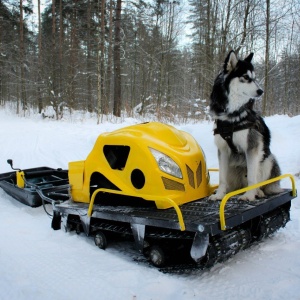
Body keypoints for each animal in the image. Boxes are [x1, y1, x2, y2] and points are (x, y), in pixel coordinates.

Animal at [209, 51, 282, 202]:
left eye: (254, 78)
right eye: (246, 77)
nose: (261, 91)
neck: (232, 115)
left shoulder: (252, 148)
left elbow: (252, 178)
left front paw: (249, 196)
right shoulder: (223, 150)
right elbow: (221, 178)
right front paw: (219, 195)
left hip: (267, 159)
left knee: (259, 181)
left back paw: (258, 192)